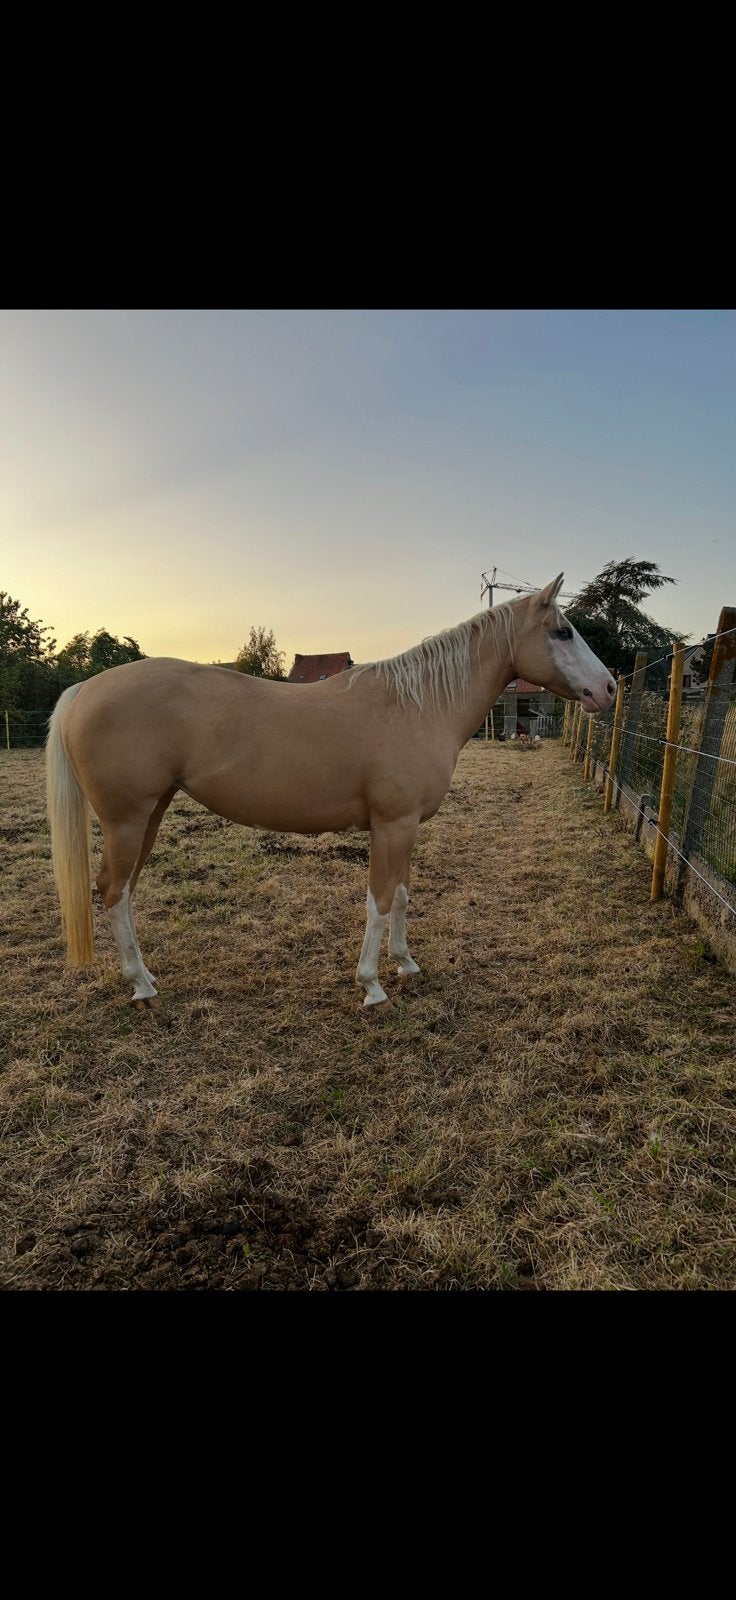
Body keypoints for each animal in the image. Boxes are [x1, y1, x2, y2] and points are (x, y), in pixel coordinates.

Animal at [46, 575, 615, 1007]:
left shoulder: (405, 829)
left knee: (122, 890)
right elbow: (379, 903)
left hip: (151, 813)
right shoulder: (392, 826)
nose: (609, 689)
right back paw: (141, 986)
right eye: (563, 632)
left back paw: (145, 977)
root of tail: (85, 689)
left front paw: (406, 963)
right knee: (113, 891)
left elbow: (401, 897)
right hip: (127, 819)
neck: (417, 706)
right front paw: (372, 985)